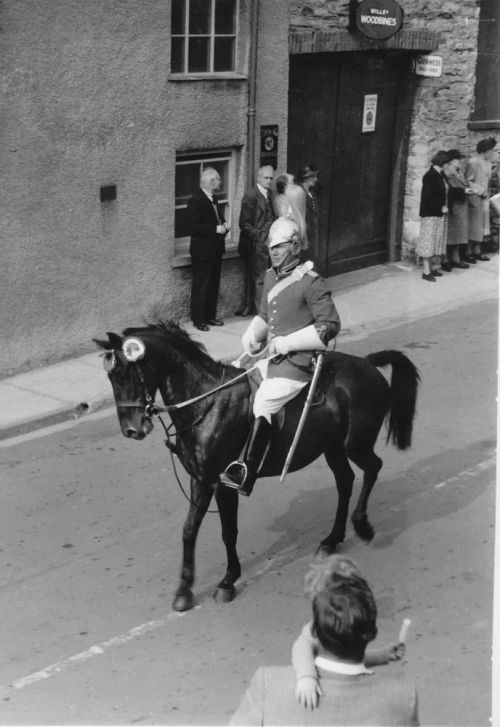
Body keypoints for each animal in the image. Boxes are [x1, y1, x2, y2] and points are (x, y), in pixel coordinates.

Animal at [94, 322, 418, 612]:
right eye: (111, 377)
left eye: (126, 373)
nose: (132, 430)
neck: (207, 402)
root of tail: (367, 363)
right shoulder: (200, 480)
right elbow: (188, 530)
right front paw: (184, 590)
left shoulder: (223, 483)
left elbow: (228, 531)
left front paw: (227, 581)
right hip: (333, 448)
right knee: (346, 481)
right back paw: (332, 539)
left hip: (355, 444)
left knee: (373, 468)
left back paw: (362, 525)